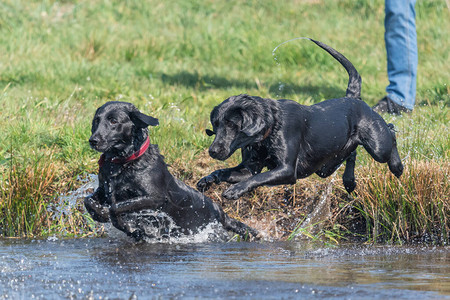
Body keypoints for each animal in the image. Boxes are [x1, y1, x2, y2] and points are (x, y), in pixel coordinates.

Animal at [84, 102, 256, 240]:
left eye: (113, 121)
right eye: (96, 120)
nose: (93, 140)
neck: (124, 163)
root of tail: (222, 214)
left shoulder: (156, 198)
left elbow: (116, 207)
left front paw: (115, 219)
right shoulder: (104, 189)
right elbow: (88, 200)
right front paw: (99, 213)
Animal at [197, 38, 404, 200]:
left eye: (232, 124)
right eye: (215, 126)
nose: (212, 151)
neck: (271, 127)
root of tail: (353, 97)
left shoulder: (287, 170)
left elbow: (257, 178)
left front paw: (234, 190)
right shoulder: (249, 167)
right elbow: (233, 172)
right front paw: (208, 179)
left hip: (378, 145)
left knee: (391, 130)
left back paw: (397, 167)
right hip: (327, 165)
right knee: (351, 154)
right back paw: (349, 182)